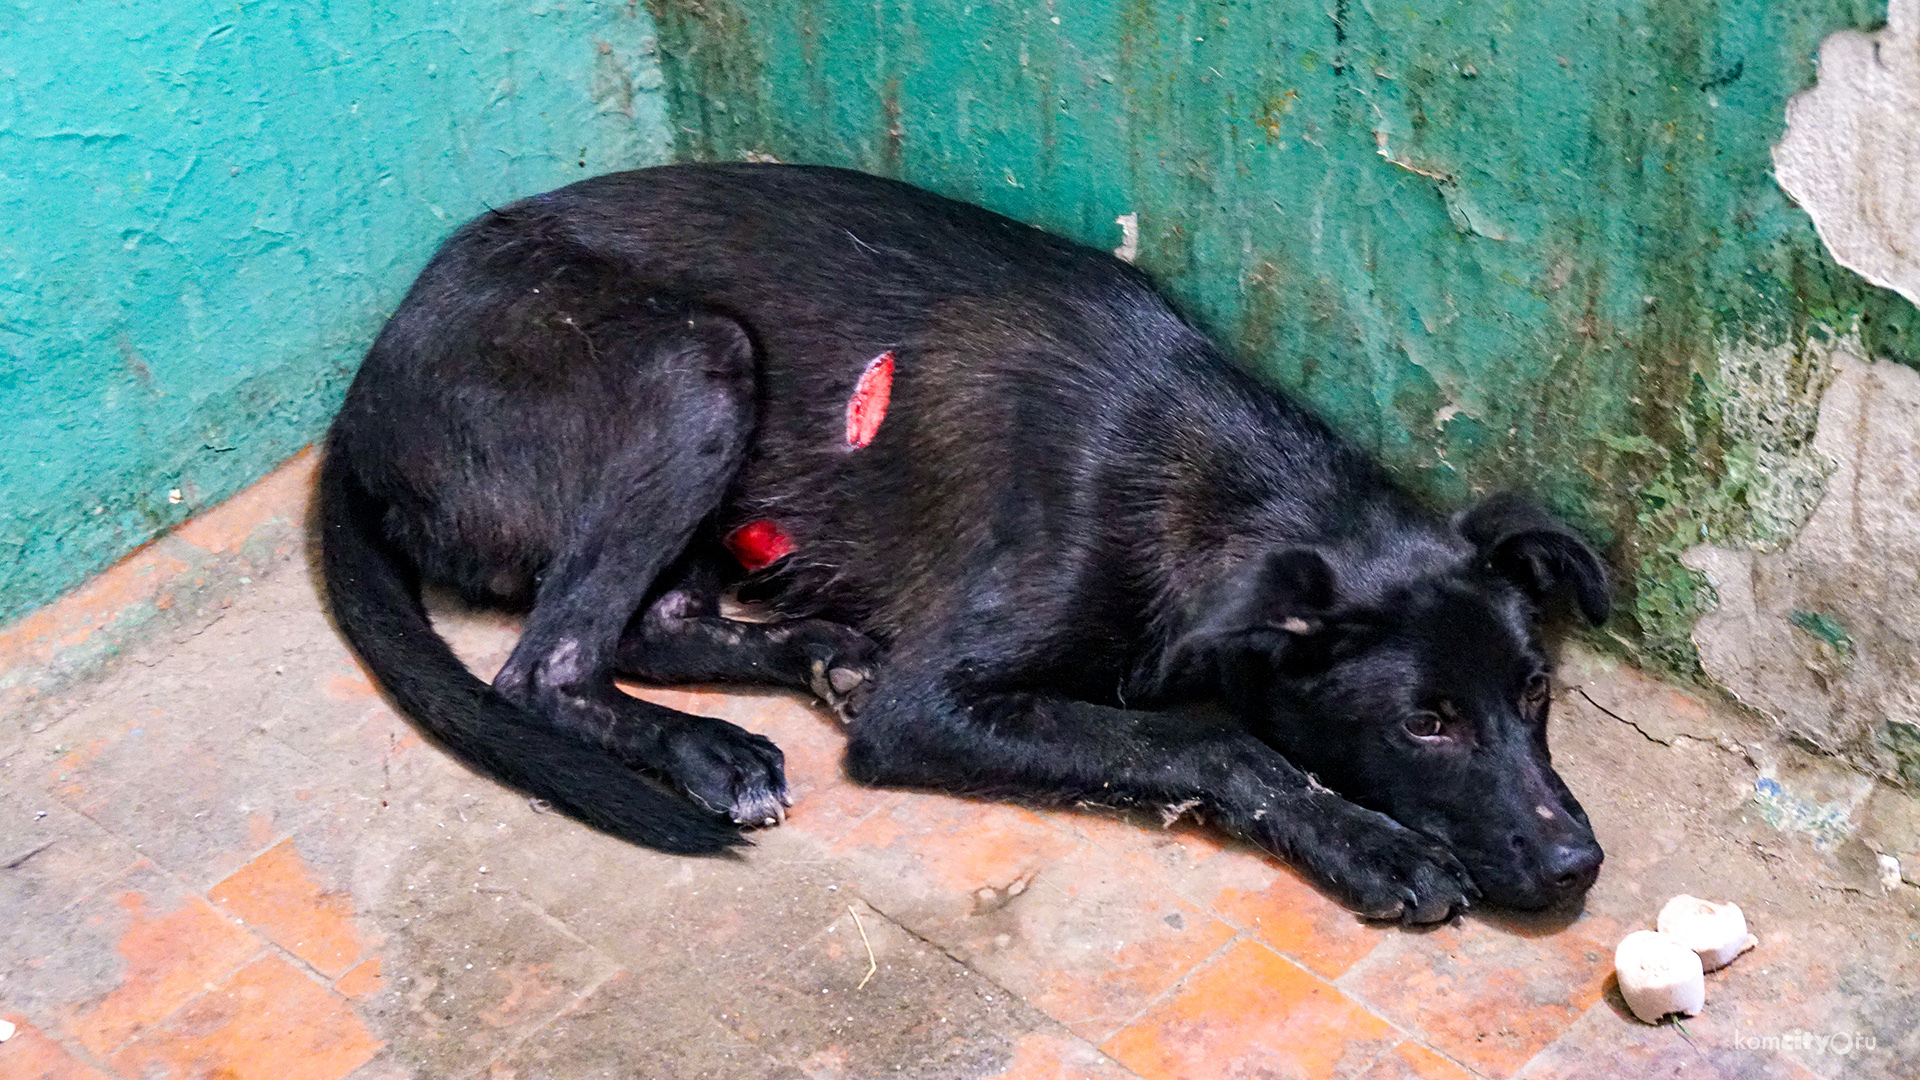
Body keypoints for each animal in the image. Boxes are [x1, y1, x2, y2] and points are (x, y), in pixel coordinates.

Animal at [322, 164, 1612, 922]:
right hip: (695, 364)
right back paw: (708, 751)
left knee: (658, 625)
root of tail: (357, 405)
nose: (1576, 869)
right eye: (1425, 724)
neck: (1219, 478)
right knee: (550, 665)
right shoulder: (930, 707)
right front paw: (1368, 845)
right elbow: (1209, 743)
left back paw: (818, 657)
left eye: (1535, 692)